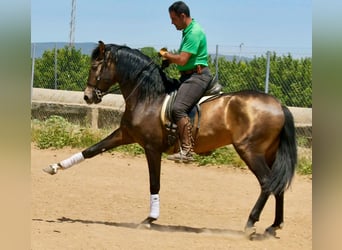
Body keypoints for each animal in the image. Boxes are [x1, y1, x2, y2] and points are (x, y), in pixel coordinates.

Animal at [44, 40, 296, 238]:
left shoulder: (151, 148)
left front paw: (150, 219)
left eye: (95, 66)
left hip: (249, 150)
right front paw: (55, 167)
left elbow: (154, 183)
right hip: (268, 153)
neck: (149, 97)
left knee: (267, 182)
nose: (87, 97)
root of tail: (279, 105)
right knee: (277, 184)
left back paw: (251, 224)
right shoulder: (125, 135)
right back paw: (274, 226)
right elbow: (91, 150)